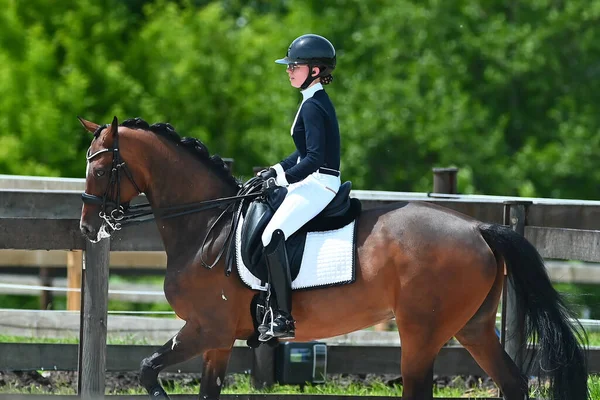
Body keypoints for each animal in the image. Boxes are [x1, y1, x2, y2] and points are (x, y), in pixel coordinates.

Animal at [77, 116, 588, 400]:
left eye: (100, 168)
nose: (87, 227)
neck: (207, 226)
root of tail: (479, 228)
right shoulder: (218, 340)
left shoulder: (206, 328)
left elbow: (147, 368)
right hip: (474, 327)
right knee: (513, 384)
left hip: (421, 333)